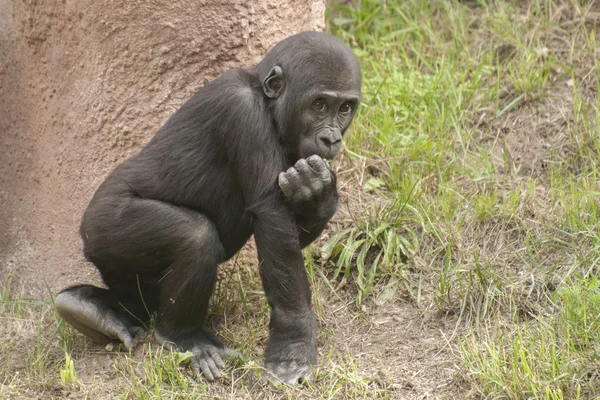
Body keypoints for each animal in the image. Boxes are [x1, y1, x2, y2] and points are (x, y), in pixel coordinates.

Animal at [56, 31, 360, 384]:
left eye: (345, 108)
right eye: (319, 105)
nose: (331, 139)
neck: (266, 99)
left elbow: (292, 232)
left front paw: (319, 193)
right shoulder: (243, 114)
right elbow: (274, 223)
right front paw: (293, 346)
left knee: (140, 297)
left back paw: (92, 309)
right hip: (102, 225)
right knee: (194, 237)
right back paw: (183, 335)